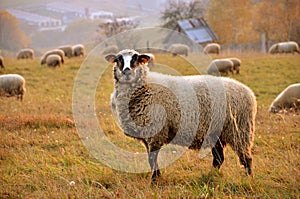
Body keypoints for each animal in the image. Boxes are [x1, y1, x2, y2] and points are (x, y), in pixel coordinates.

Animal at [105, 49, 255, 183]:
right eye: (118, 59)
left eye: (136, 58)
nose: (127, 71)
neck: (145, 87)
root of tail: (248, 92)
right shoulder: (147, 135)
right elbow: (151, 159)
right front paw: (157, 177)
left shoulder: (156, 132)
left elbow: (152, 159)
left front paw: (154, 181)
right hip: (216, 133)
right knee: (219, 158)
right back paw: (210, 176)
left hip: (239, 130)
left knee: (245, 157)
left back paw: (248, 179)